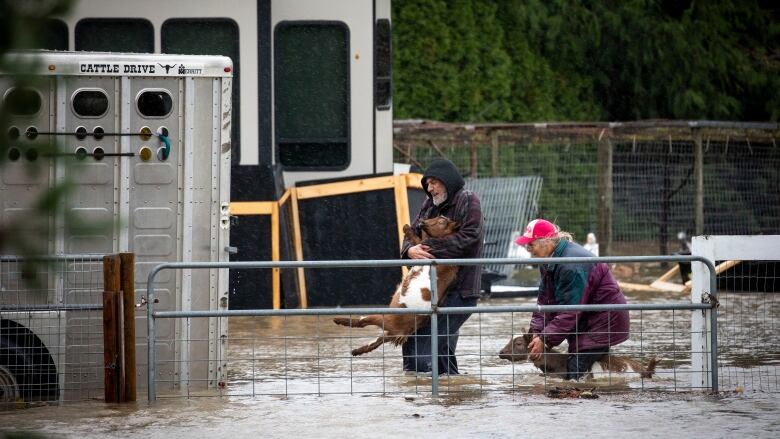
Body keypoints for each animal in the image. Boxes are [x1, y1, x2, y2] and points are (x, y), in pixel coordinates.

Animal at [334, 217, 458, 358]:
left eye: (442, 221)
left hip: (383, 317)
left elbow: (417, 239)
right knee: (375, 342)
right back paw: (356, 351)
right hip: (388, 333)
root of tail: (403, 331)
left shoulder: (428, 252)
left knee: (362, 322)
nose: (422, 221)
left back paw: (338, 320)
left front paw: (406, 227)